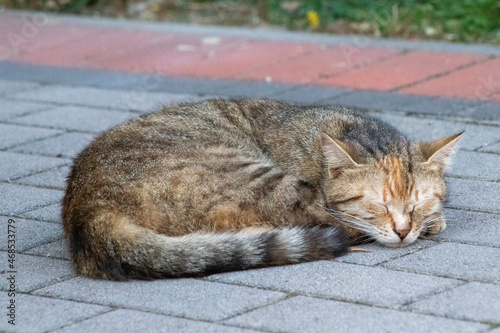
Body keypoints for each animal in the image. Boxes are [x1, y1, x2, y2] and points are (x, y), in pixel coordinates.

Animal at [62, 97, 460, 278]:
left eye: (420, 199)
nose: (404, 230)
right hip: (254, 177)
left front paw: (431, 219)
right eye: (378, 202)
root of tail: (85, 208)